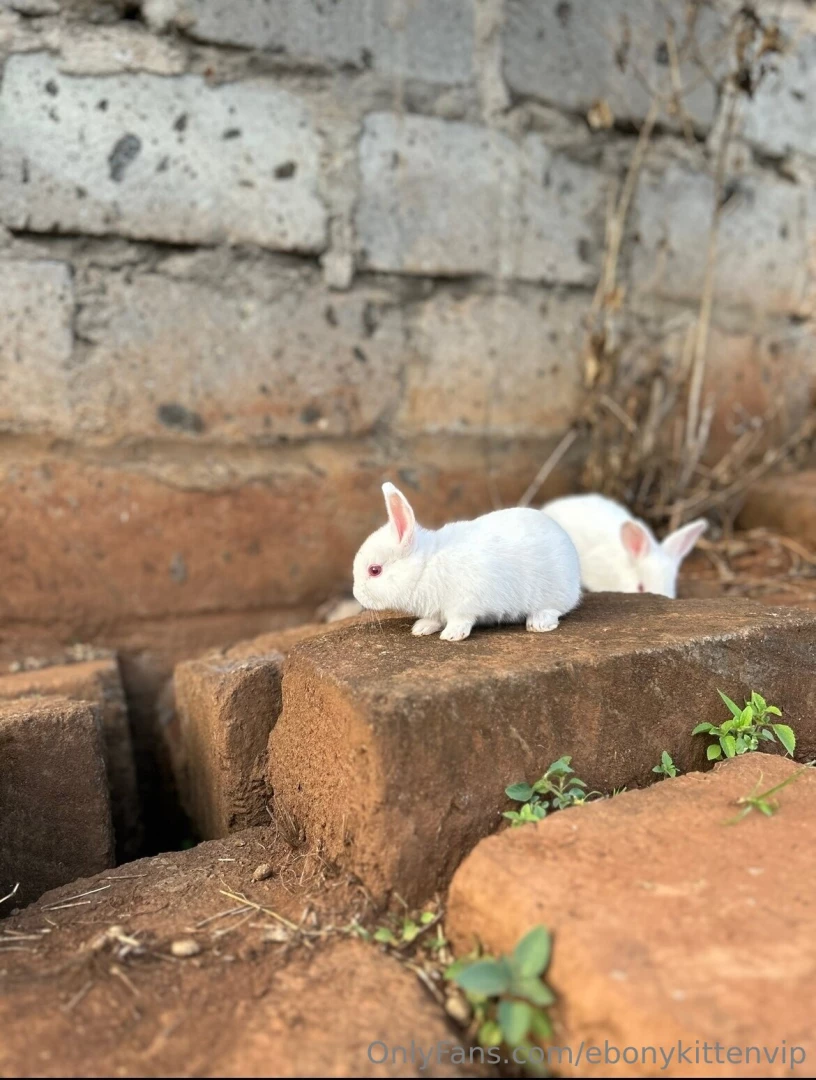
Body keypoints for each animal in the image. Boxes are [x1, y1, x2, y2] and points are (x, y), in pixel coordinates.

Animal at [352, 482, 581, 641]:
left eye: (374, 570)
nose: (356, 595)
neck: (425, 568)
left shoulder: (464, 604)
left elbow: (460, 620)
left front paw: (451, 636)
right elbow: (434, 619)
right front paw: (421, 628)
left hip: (554, 593)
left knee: (555, 609)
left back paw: (538, 623)